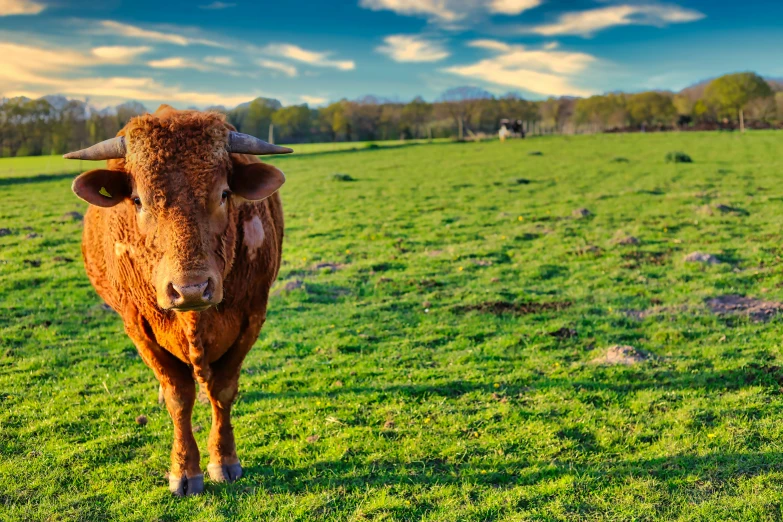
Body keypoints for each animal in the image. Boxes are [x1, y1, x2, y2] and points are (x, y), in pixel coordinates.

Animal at [64, 103, 290, 494]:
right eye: (138, 200)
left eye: (224, 194)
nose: (191, 289)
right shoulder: (137, 326)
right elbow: (178, 395)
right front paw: (184, 469)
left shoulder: (252, 316)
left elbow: (222, 390)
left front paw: (224, 460)